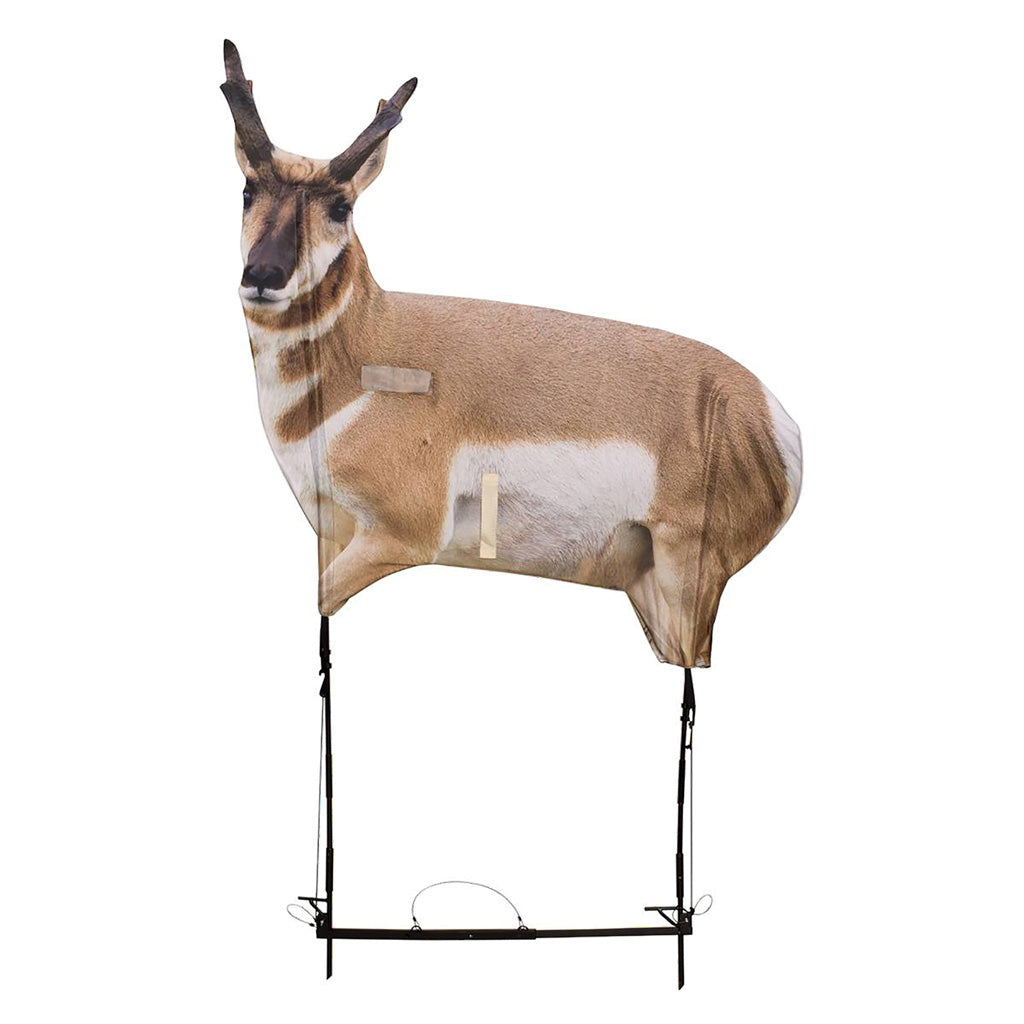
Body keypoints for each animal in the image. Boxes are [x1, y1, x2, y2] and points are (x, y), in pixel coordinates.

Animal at [221, 40, 802, 669]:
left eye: (340, 208)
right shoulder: (332, 531)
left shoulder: (399, 536)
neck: (371, 350)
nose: (263, 275)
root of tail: (770, 414)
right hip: (648, 587)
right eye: (247, 190)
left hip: (685, 576)